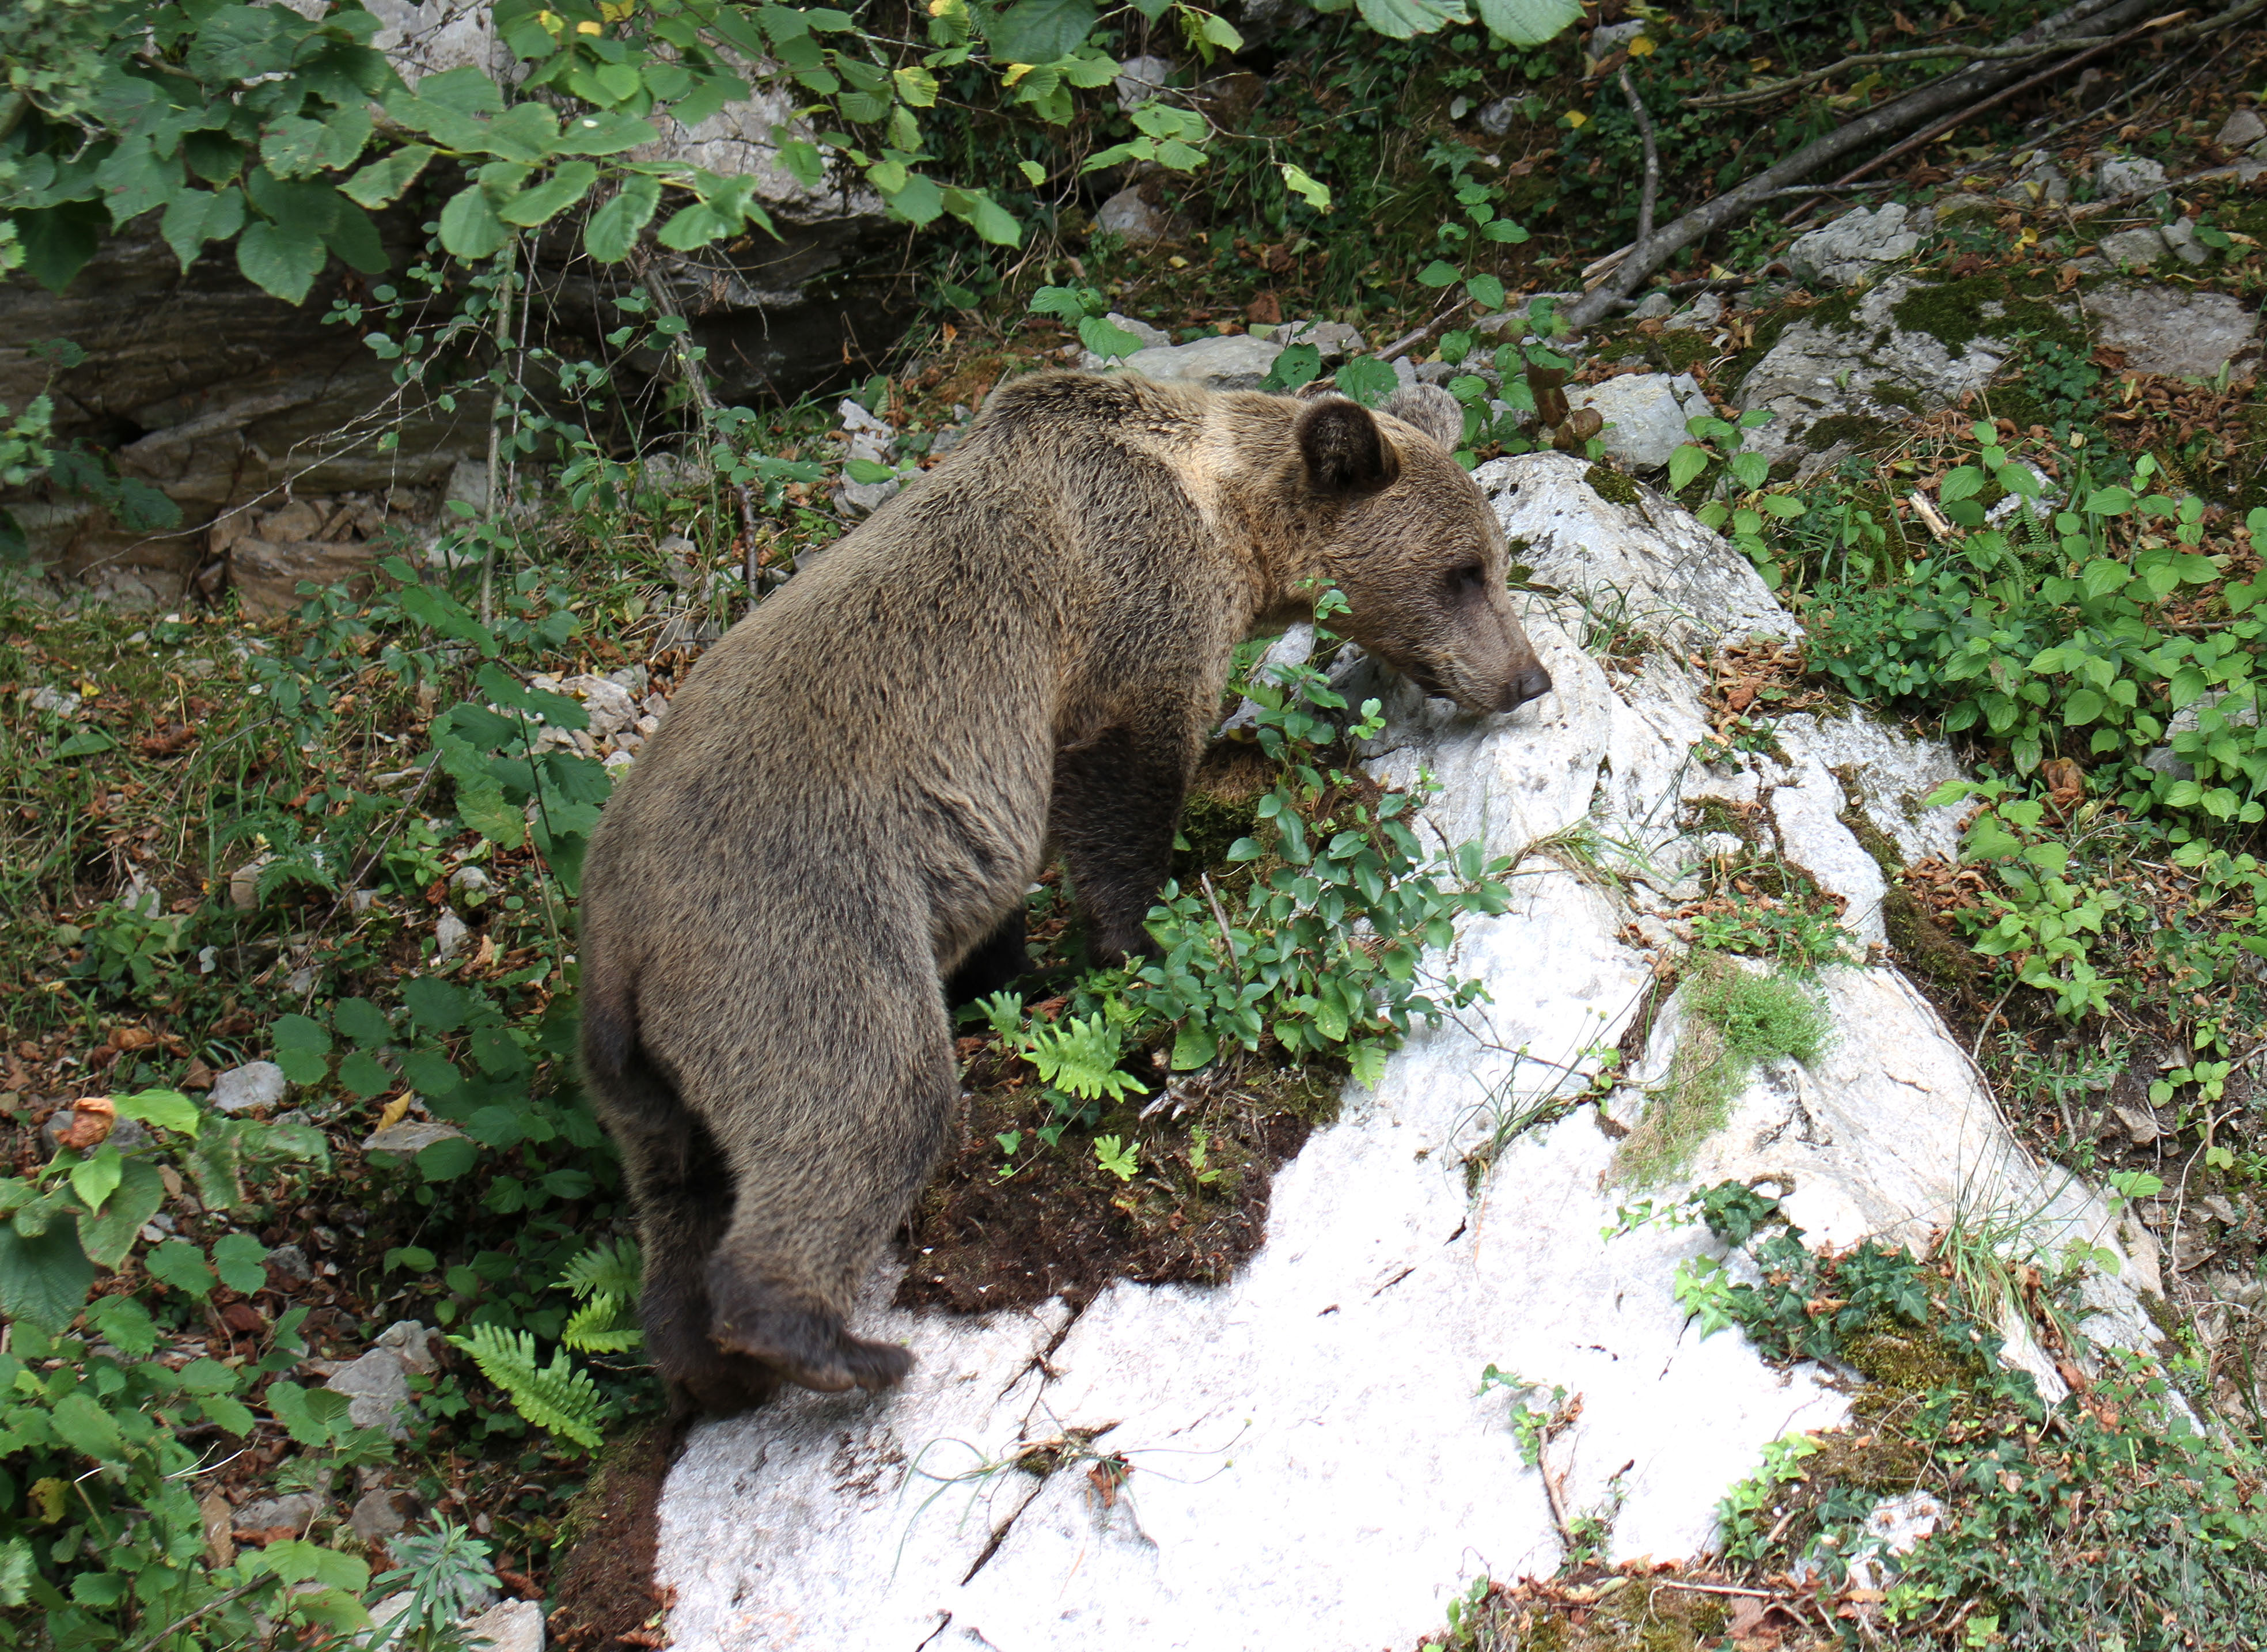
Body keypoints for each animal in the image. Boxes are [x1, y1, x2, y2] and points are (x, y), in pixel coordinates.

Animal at [575, 367, 1550, 1414]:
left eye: (1496, 558)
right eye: (1462, 570)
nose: (1527, 677)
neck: (1228, 517)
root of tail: (616, 946)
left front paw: (1025, 970)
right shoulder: (1128, 607)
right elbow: (1124, 778)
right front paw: (1154, 939)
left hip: (648, 1078)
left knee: (682, 1190)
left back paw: (707, 1369)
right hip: (787, 930)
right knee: (868, 1094)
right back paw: (836, 1346)